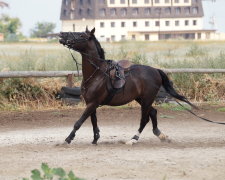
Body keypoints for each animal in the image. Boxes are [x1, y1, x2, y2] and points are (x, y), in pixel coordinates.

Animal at [59, 27, 195, 145]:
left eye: (82, 35)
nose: (61, 34)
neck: (96, 74)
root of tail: (155, 70)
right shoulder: (91, 103)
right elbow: (93, 121)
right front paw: (95, 139)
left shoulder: (93, 103)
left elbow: (79, 122)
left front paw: (68, 139)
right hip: (141, 99)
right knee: (153, 112)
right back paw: (160, 135)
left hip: (147, 99)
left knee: (144, 119)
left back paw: (133, 139)